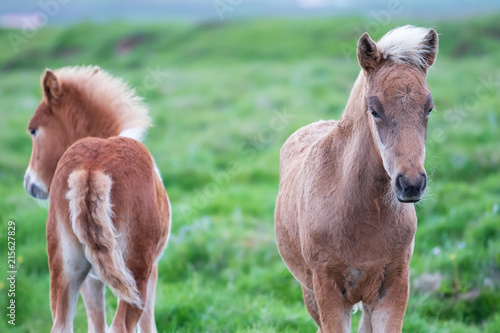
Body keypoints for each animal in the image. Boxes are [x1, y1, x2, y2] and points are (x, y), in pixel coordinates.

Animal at [23, 66, 172, 330]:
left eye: (33, 129)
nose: (29, 184)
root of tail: (91, 168)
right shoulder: (152, 271)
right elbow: (148, 325)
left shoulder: (90, 280)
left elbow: (96, 324)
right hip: (136, 279)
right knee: (121, 326)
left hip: (65, 275)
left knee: (61, 325)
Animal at [276, 24, 440, 330]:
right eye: (374, 110)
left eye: (429, 109)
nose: (411, 184)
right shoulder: (327, 290)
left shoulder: (394, 286)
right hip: (309, 292)